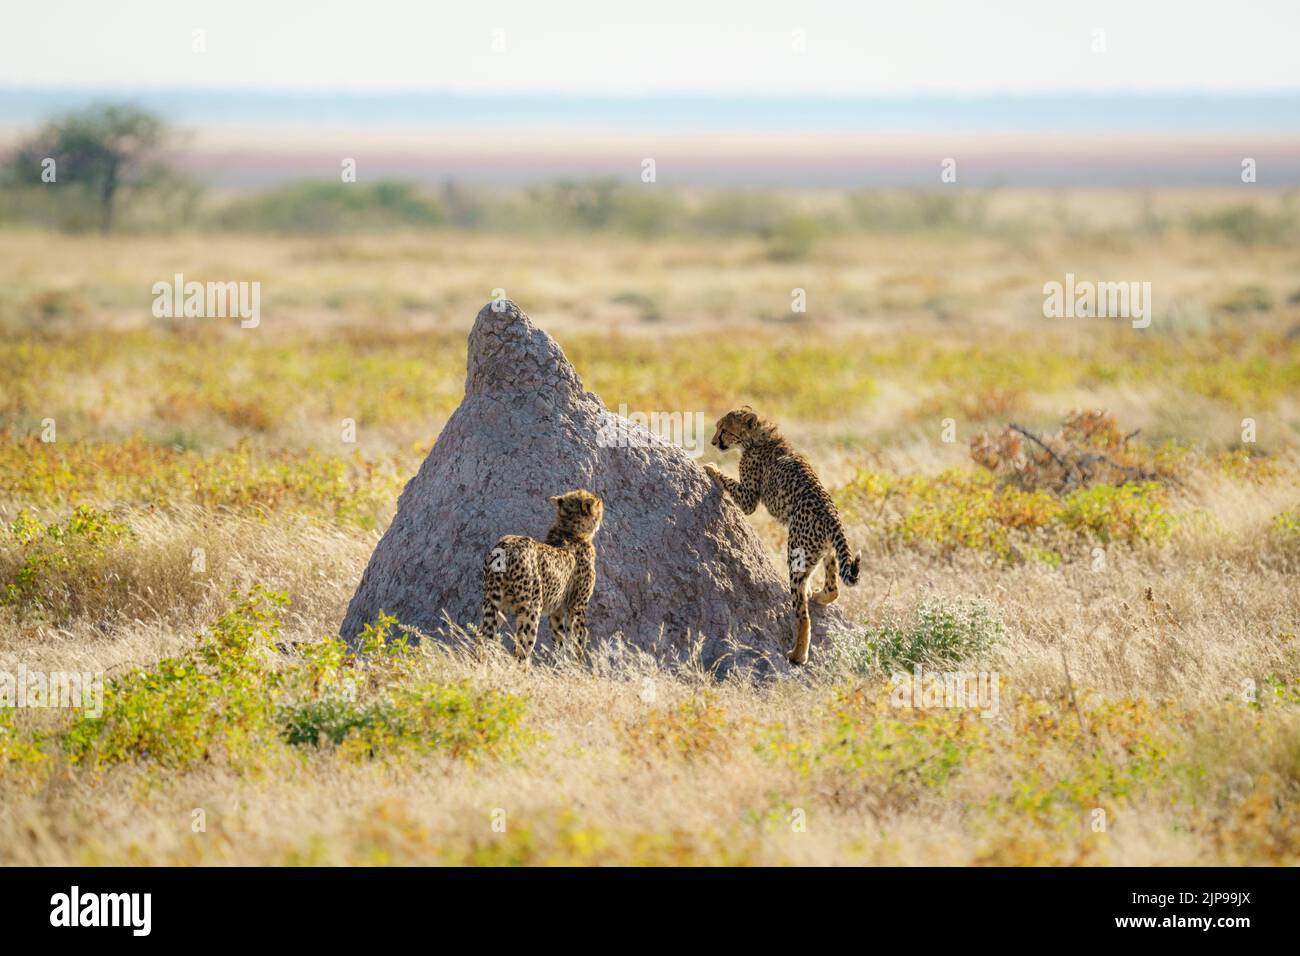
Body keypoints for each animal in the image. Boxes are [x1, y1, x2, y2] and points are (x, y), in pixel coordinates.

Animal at [480, 489, 600, 660]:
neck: (570, 531)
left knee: (482, 637)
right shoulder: (577, 606)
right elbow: (577, 641)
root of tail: (506, 546)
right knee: (522, 649)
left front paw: (560, 663)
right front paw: (578, 664)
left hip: (493, 603)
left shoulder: (557, 610)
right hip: (531, 607)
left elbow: (559, 639)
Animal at [707, 405, 857, 665]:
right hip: (825, 551)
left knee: (803, 615)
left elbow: (729, 482)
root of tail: (832, 516)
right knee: (833, 589)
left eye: (724, 429)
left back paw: (797, 655)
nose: (714, 442)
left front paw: (710, 467)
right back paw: (817, 596)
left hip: (796, 552)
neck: (757, 437)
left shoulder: (748, 499)